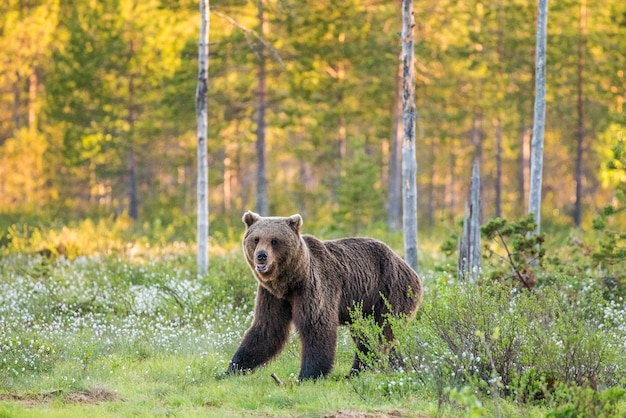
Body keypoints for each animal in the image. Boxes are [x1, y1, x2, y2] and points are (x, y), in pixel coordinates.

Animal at [224, 211, 420, 380]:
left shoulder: (313, 286)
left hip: (388, 292)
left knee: (376, 332)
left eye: (274, 240)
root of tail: (409, 267)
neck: (290, 281)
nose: (261, 256)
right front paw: (231, 368)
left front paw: (307, 375)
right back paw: (398, 366)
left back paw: (357, 371)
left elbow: (316, 325)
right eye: (256, 239)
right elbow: (267, 328)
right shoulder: (272, 295)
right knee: (377, 335)